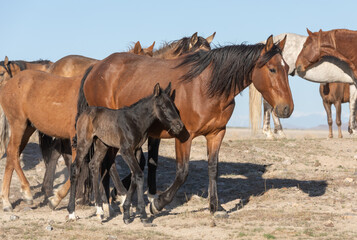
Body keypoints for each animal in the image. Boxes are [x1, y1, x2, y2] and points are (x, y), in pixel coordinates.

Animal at [67, 83, 184, 224]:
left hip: (102, 144)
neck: (135, 121)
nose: (179, 126)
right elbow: (139, 174)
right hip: (85, 142)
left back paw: (100, 210)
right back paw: (72, 213)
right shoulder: (126, 150)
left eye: (174, 106)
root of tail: (83, 113)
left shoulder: (136, 150)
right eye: (163, 106)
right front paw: (143, 215)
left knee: (94, 165)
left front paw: (127, 213)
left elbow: (135, 175)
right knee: (75, 168)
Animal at [75, 34, 292, 216]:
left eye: (287, 69)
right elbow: (182, 172)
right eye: (272, 69)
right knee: (108, 163)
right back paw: (119, 196)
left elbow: (213, 168)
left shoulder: (216, 133)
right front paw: (157, 203)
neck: (206, 87)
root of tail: (97, 67)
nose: (287, 108)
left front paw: (216, 207)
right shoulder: (183, 136)